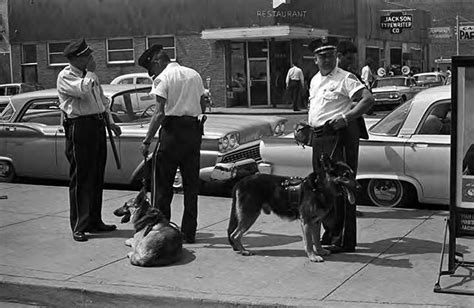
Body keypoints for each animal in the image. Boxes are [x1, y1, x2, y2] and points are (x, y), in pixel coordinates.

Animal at [227, 154, 360, 262]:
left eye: (353, 174)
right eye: (346, 175)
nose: (360, 187)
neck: (319, 188)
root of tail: (240, 182)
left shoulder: (316, 222)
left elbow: (316, 239)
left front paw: (320, 251)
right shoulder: (306, 222)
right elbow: (309, 242)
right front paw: (312, 256)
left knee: (235, 235)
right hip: (249, 216)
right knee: (235, 235)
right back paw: (243, 251)